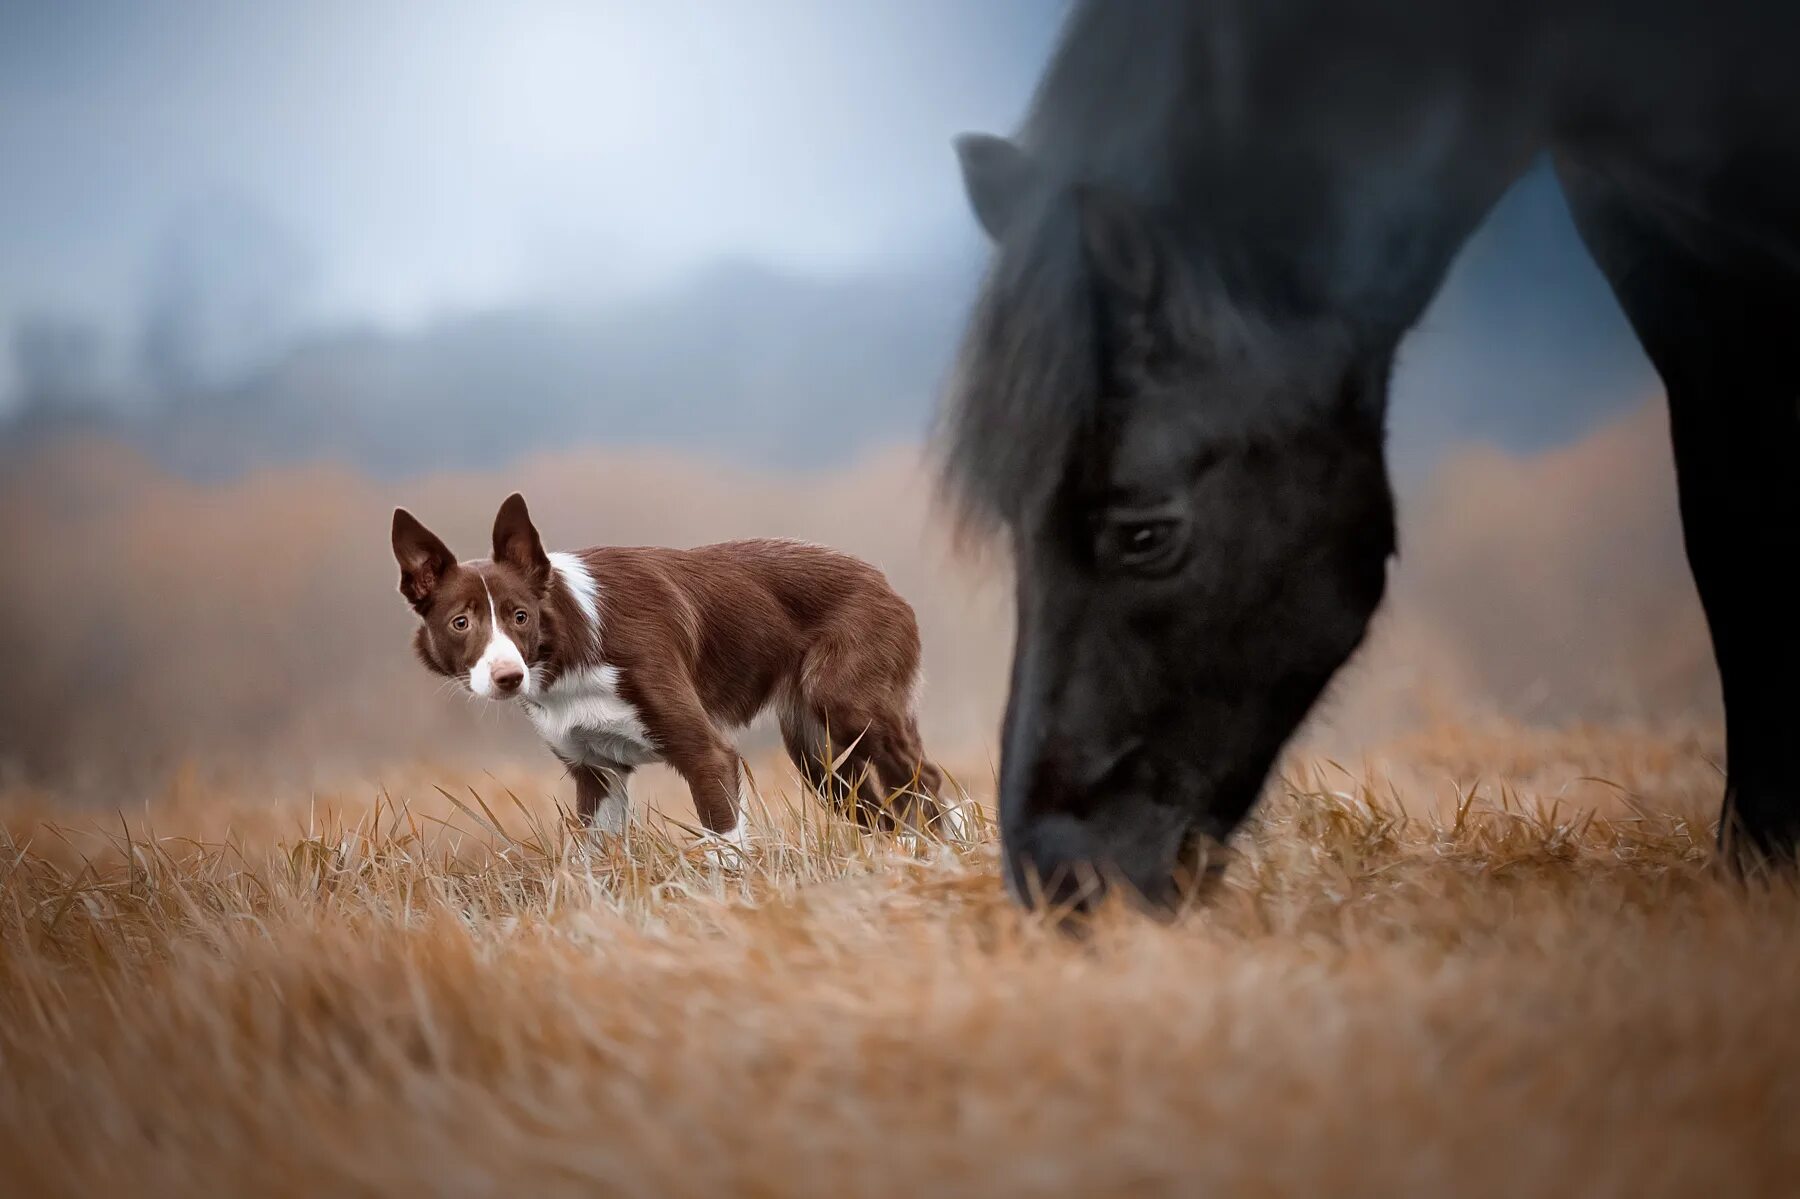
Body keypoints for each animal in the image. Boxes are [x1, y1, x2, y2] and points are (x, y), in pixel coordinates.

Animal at [388, 489, 964, 846]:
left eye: (520, 616)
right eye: (461, 622)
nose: (508, 677)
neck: (570, 651)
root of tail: (880, 579)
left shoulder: (708, 755)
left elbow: (724, 848)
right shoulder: (595, 777)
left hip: (851, 711)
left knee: (926, 784)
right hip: (819, 757)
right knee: (880, 813)